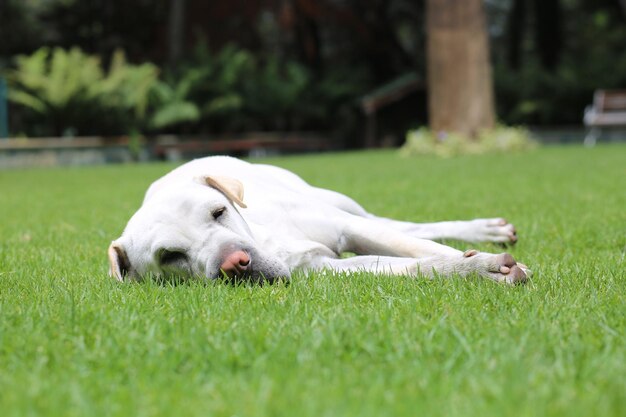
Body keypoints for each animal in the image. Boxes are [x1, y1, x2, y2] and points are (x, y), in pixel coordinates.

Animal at [107, 155, 528, 282]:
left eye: (219, 212)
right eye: (170, 257)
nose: (236, 264)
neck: (268, 240)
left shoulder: (346, 226)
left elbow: (417, 245)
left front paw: (482, 262)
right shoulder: (324, 266)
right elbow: (417, 265)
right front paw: (476, 269)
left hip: (338, 203)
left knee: (404, 227)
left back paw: (484, 230)